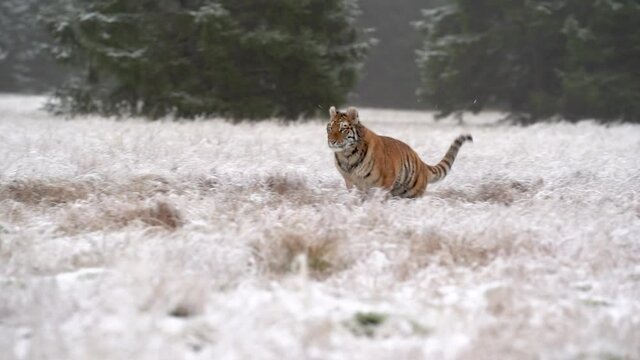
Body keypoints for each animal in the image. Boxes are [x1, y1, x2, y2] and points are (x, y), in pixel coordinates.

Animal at [328, 105, 472, 198]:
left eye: (342, 129)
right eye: (330, 128)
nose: (332, 141)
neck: (347, 155)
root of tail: (422, 163)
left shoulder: (383, 183)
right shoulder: (350, 182)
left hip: (411, 193)